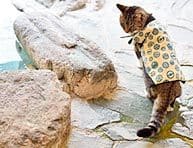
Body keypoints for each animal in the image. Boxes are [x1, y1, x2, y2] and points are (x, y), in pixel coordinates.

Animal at [117, 3, 185, 138]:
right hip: (179, 89)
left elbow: (139, 59)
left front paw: (139, 65)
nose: (128, 30)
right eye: (123, 23)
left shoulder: (138, 49)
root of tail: (167, 90)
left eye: (130, 25)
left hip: (148, 81)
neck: (148, 21)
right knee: (173, 100)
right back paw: (170, 106)